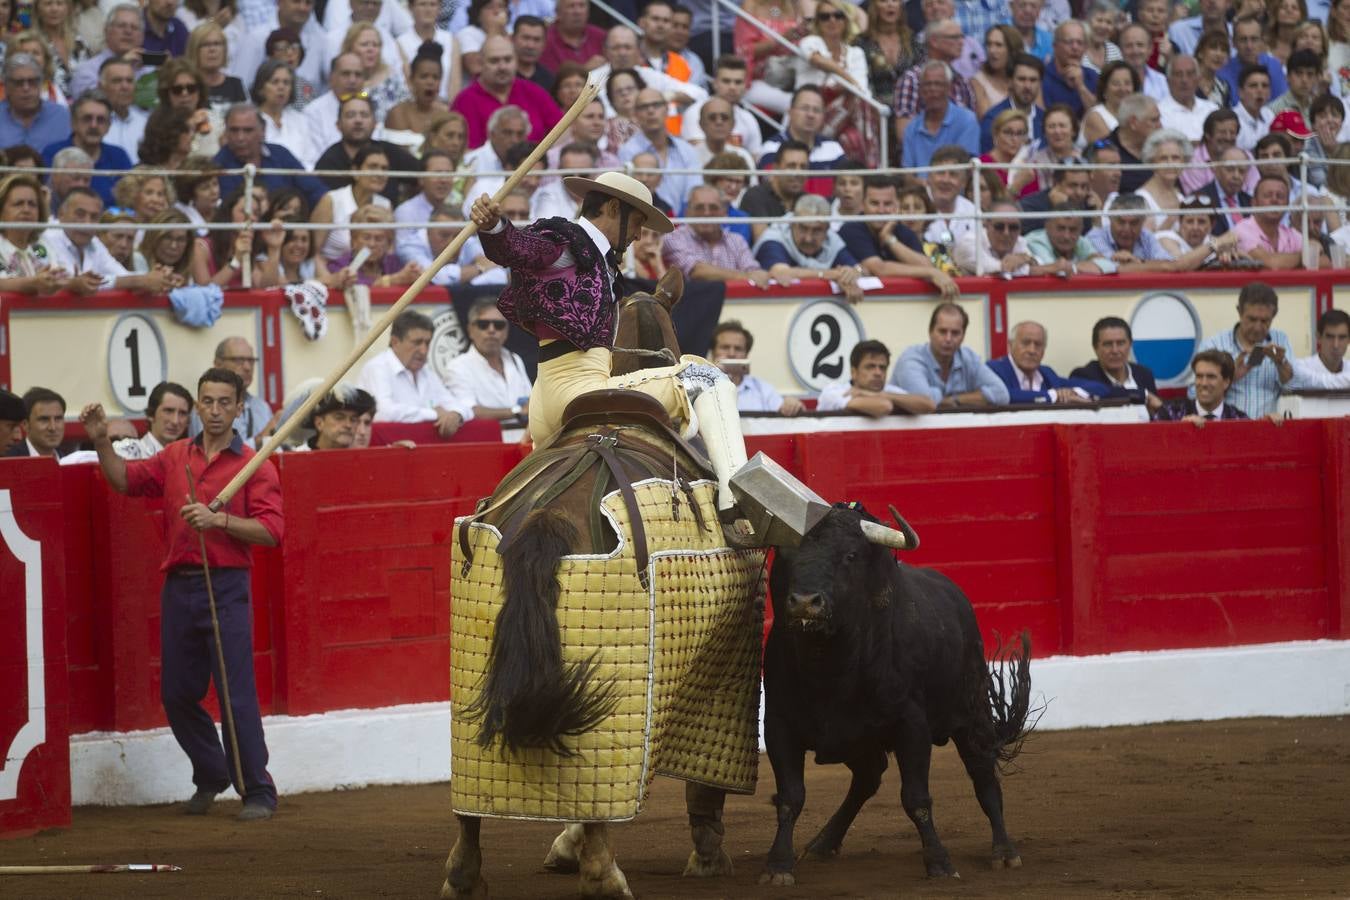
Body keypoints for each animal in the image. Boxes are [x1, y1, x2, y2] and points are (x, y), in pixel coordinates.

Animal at [440, 272, 761, 900]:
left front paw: (559, 847)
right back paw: (603, 875)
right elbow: (703, 784)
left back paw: (464, 876)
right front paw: (708, 855)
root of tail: (548, 516)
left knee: (471, 799)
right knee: (599, 802)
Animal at [761, 507, 1031, 885]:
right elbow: (790, 797)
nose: (804, 603)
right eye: (783, 554)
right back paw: (823, 843)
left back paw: (1004, 852)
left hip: (972, 713)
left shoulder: (911, 725)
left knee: (983, 774)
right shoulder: (779, 724)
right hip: (859, 741)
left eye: (850, 556)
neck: (831, 664)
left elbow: (916, 797)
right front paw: (778, 865)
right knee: (868, 777)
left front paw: (940, 863)